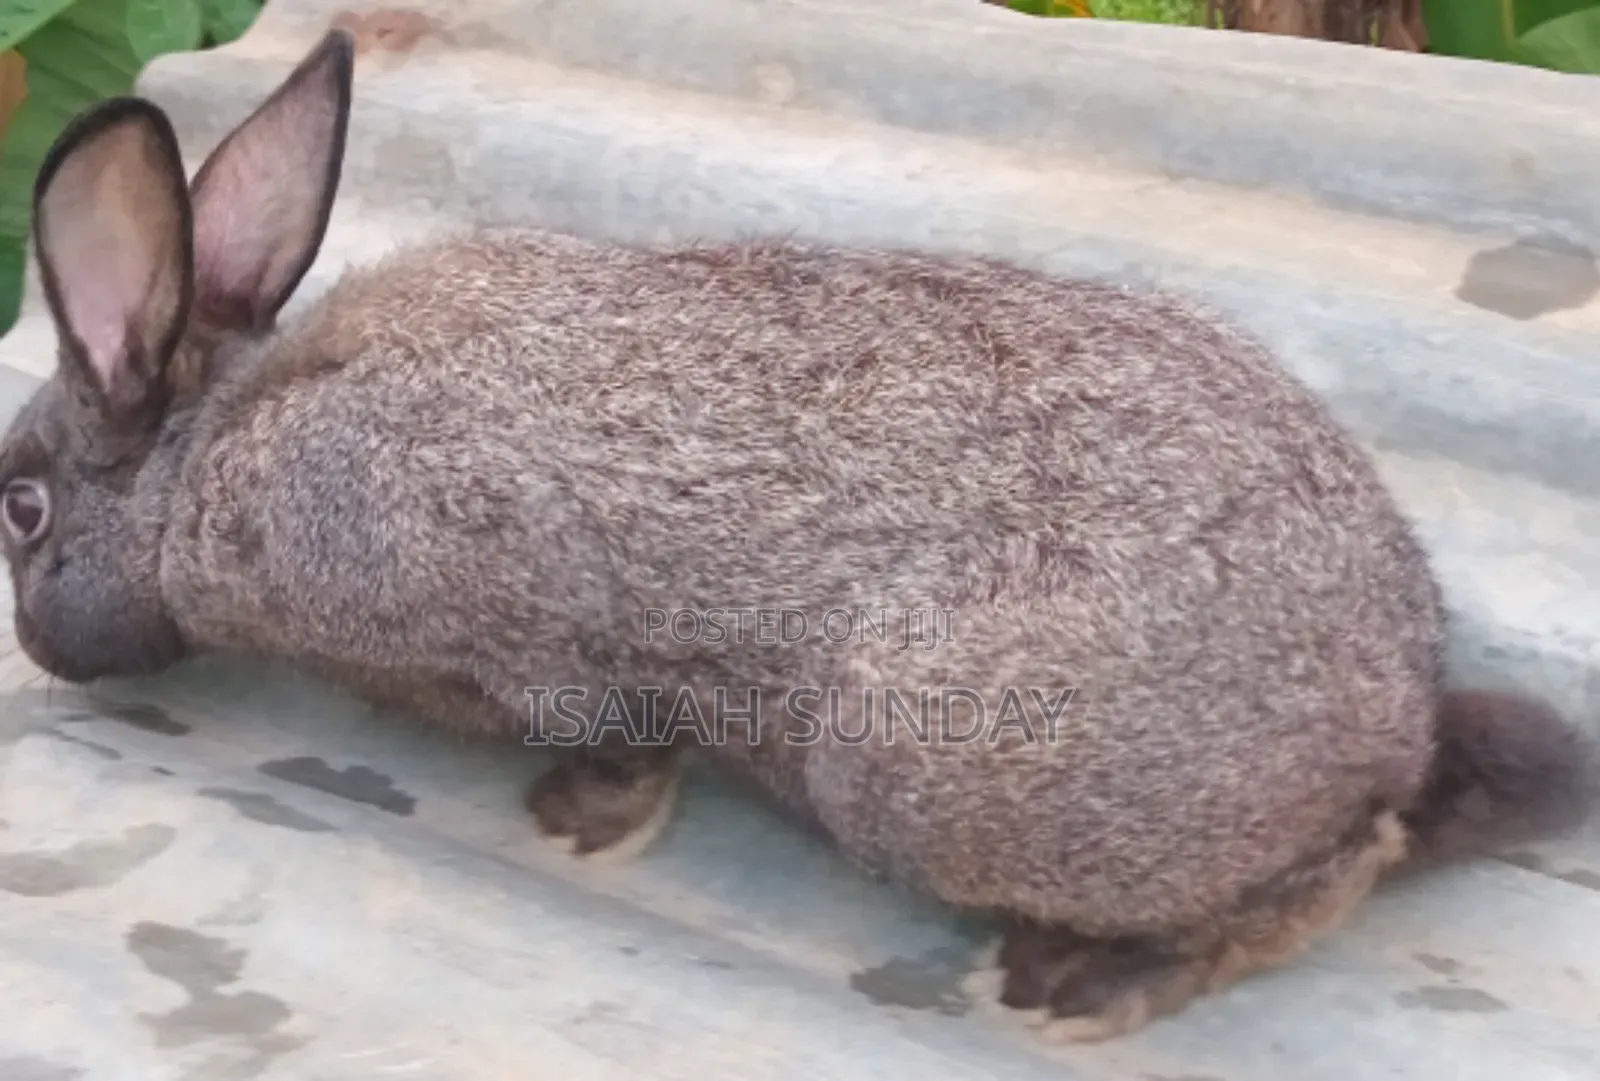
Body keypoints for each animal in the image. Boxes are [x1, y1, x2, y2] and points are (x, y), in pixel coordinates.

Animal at [3, 28, 1596, 1042]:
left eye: (21, 508)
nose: (39, 651)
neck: (209, 455)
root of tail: (1397, 713)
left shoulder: (523, 627)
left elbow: (619, 720)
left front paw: (583, 818)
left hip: (909, 762)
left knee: (1341, 865)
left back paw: (1082, 989)